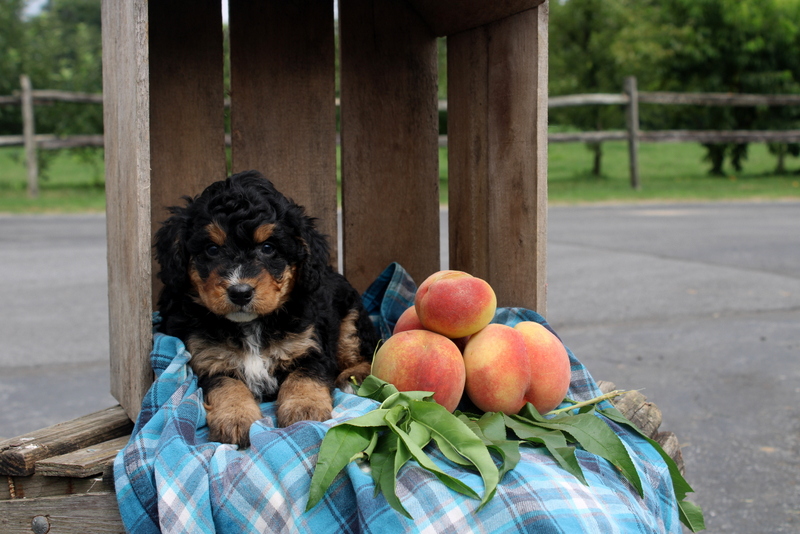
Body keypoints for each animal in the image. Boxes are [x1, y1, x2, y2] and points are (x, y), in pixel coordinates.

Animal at [157, 171, 382, 448]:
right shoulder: (207, 358)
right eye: (212, 249)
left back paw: (355, 377)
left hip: (350, 321)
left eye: (267, 248)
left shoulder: (310, 345)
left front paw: (304, 408)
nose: (240, 292)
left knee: (366, 354)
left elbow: (305, 375)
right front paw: (235, 418)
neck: (251, 324)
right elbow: (227, 385)